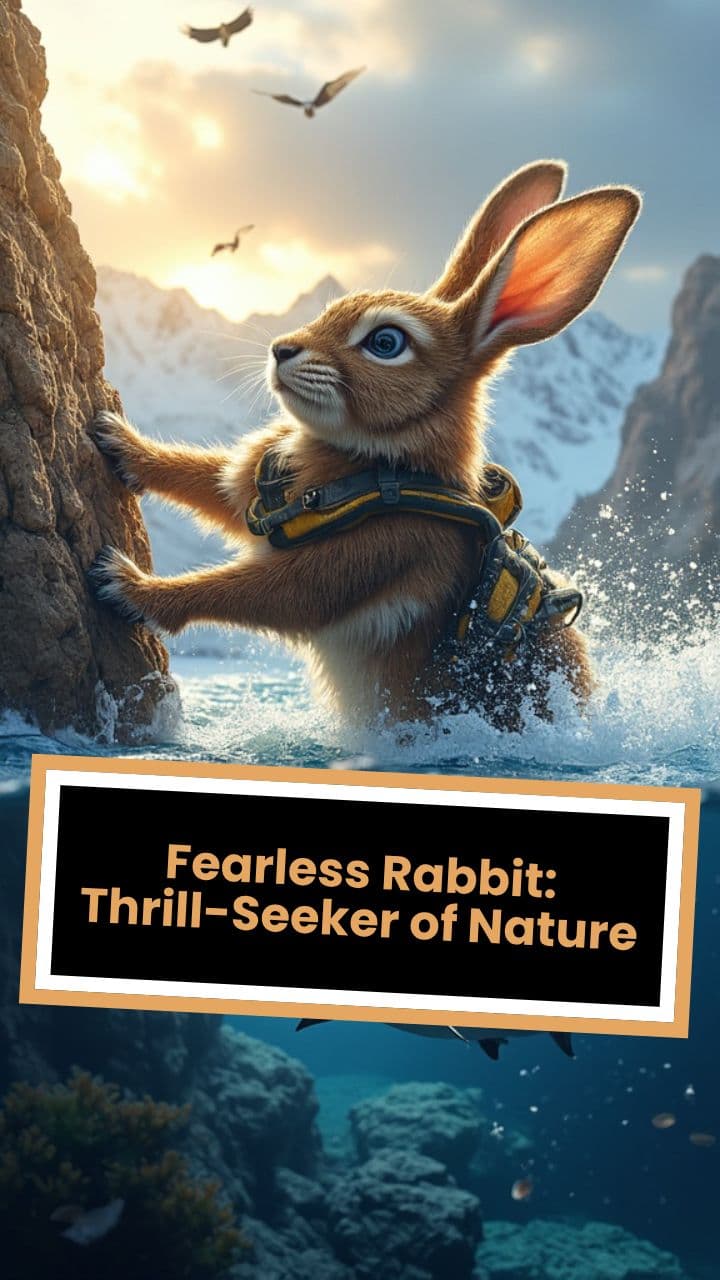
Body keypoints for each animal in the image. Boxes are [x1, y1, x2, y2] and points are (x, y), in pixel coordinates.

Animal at [89, 160, 641, 726]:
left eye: (386, 342)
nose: (281, 348)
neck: (377, 466)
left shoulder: (380, 556)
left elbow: (249, 593)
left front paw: (128, 586)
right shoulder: (255, 492)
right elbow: (205, 481)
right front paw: (118, 439)